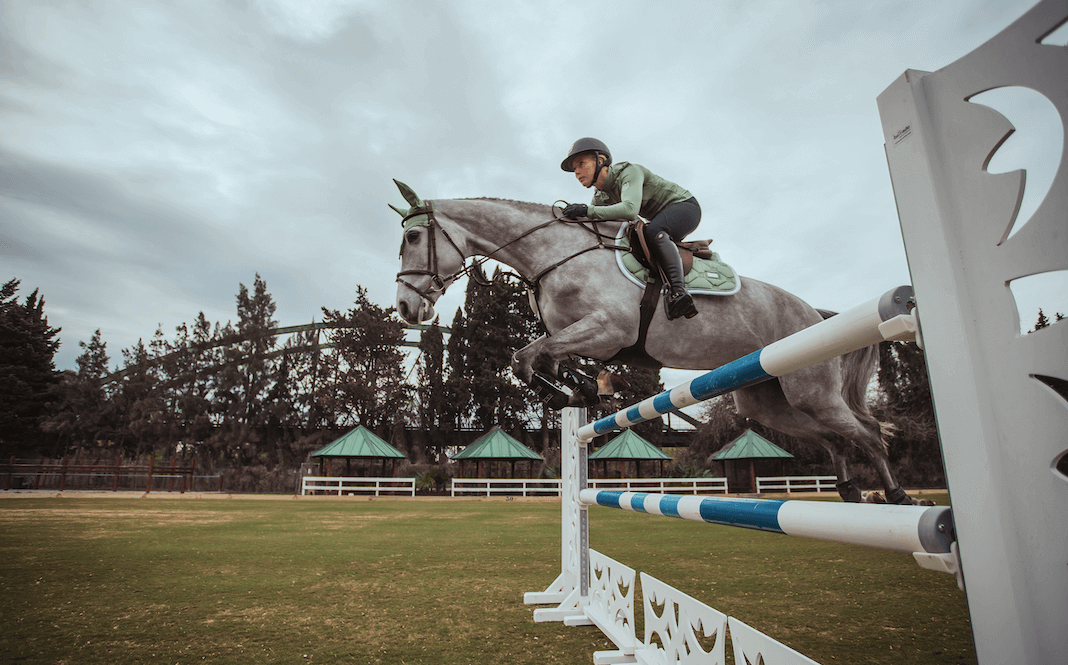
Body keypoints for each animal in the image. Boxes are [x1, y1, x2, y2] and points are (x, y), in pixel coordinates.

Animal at [391, 180, 927, 505]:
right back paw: (849, 491)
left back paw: (896, 496)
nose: (405, 309)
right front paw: (583, 389)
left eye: (413, 238)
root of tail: (814, 314)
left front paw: (579, 389)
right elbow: (532, 358)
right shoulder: (577, 335)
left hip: (811, 389)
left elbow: (527, 357)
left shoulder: (611, 328)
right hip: (767, 400)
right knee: (834, 437)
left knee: (867, 431)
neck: (554, 254)